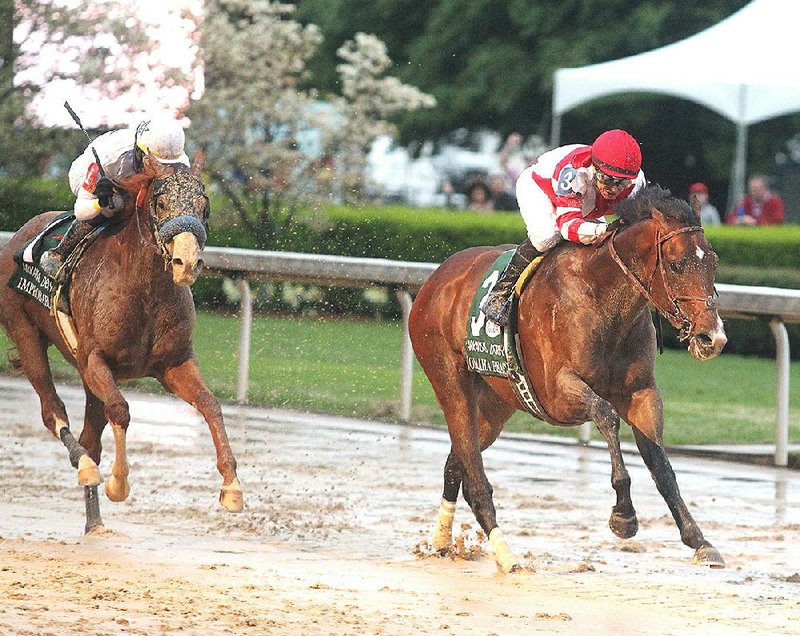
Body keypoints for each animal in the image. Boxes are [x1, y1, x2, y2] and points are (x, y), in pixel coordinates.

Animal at [0, 158, 242, 532]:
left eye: (204, 207)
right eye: (160, 203)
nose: (186, 263)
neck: (144, 289)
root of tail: (21, 233)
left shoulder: (174, 363)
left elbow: (210, 404)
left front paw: (231, 487)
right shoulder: (95, 360)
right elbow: (120, 409)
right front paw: (118, 482)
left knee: (90, 439)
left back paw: (94, 522)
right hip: (24, 331)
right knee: (53, 410)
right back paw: (86, 469)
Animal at [410, 184, 728, 572]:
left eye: (712, 262)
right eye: (676, 263)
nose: (712, 338)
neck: (602, 297)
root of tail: (436, 278)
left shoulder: (642, 393)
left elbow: (662, 466)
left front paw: (699, 540)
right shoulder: (559, 393)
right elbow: (606, 415)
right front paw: (624, 514)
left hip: (494, 405)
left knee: (457, 467)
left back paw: (442, 542)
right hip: (449, 380)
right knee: (476, 479)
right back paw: (508, 557)